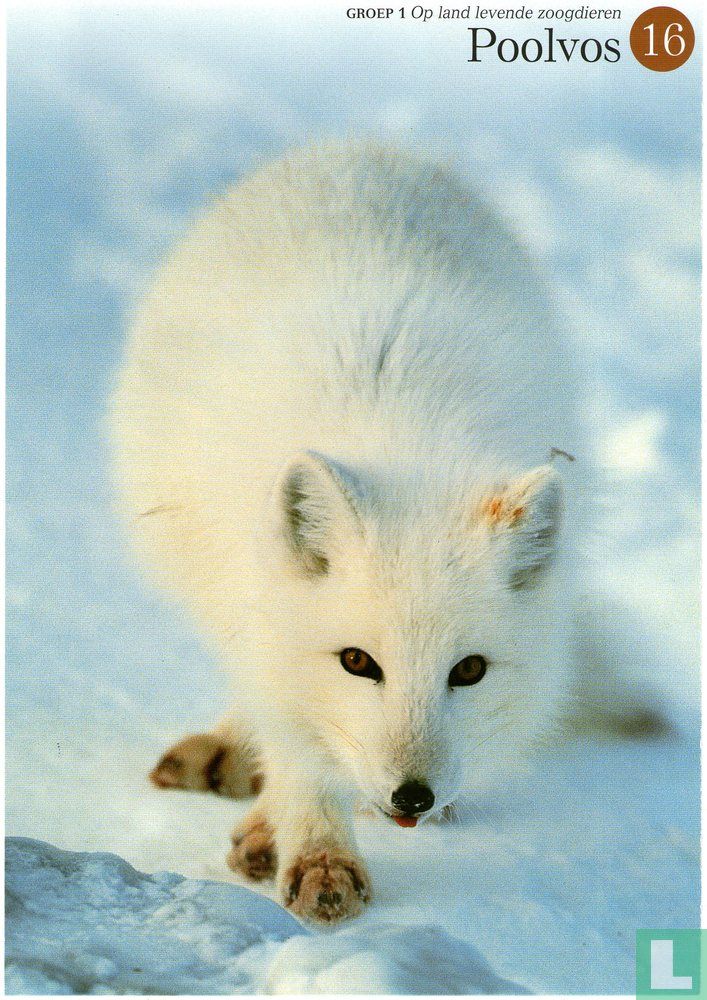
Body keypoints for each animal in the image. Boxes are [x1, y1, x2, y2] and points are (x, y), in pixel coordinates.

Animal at [111, 140, 661, 924]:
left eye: (469, 671)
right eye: (356, 662)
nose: (413, 797)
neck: (406, 443)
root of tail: (362, 148)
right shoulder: (261, 613)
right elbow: (297, 747)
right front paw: (316, 851)